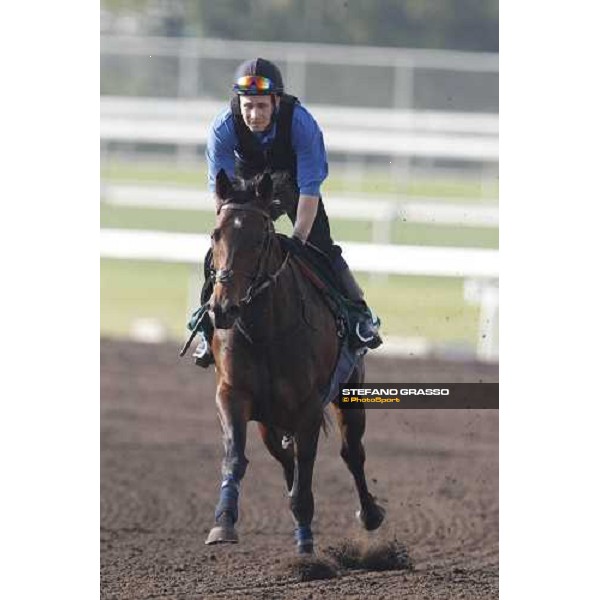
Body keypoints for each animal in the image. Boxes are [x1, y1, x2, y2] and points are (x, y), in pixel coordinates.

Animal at [206, 169, 384, 552]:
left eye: (261, 238)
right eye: (216, 234)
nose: (223, 308)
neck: (265, 332)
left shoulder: (308, 408)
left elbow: (307, 477)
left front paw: (306, 552)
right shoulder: (233, 393)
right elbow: (235, 457)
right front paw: (223, 522)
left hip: (349, 395)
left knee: (352, 453)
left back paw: (370, 514)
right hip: (268, 421)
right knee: (286, 461)